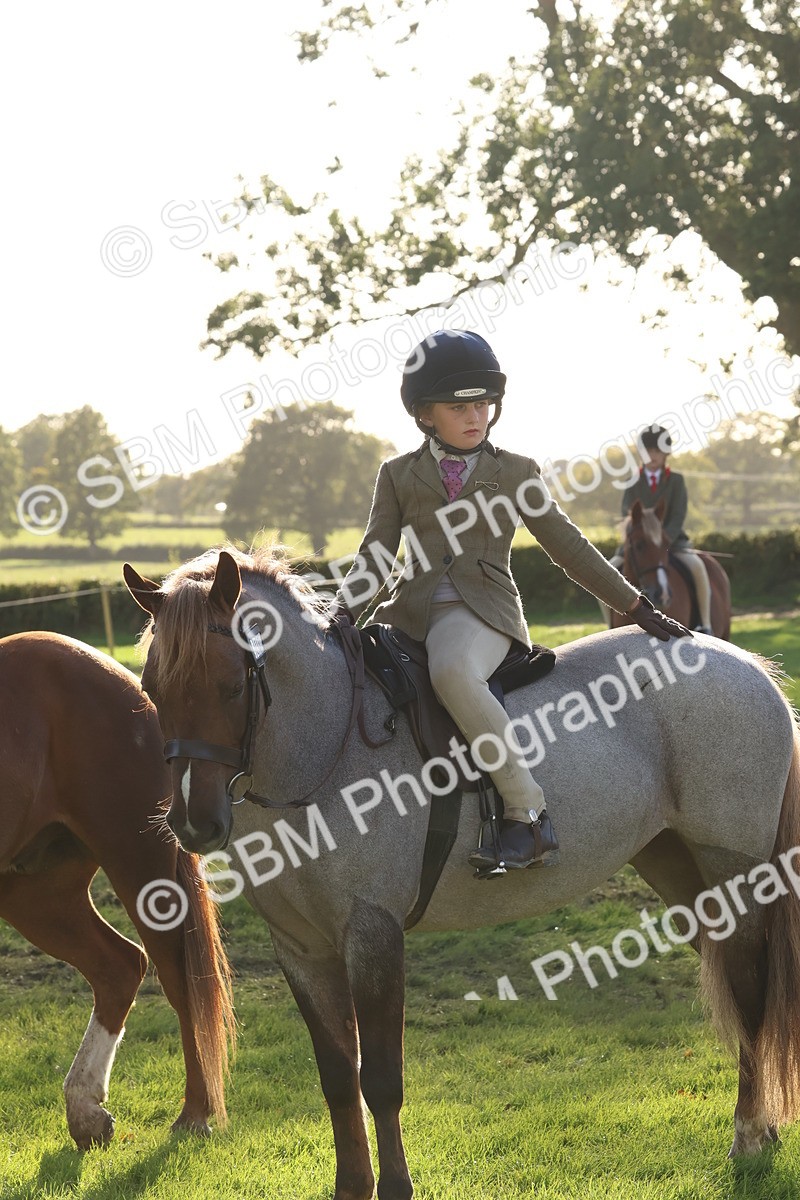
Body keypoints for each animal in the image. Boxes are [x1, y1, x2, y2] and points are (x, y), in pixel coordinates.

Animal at [0, 631, 235, 1149]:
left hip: (135, 860)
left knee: (178, 981)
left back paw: (193, 1113)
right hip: (36, 895)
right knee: (118, 967)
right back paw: (86, 1109)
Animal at [124, 546, 800, 1200]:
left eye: (229, 686)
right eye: (152, 686)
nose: (194, 823)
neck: (324, 747)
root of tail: (741, 663)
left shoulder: (372, 935)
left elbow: (382, 1080)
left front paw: (396, 1187)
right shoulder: (302, 949)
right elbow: (339, 1078)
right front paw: (353, 1186)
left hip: (733, 875)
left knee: (750, 990)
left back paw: (749, 1134)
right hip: (676, 868)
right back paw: (762, 1127)